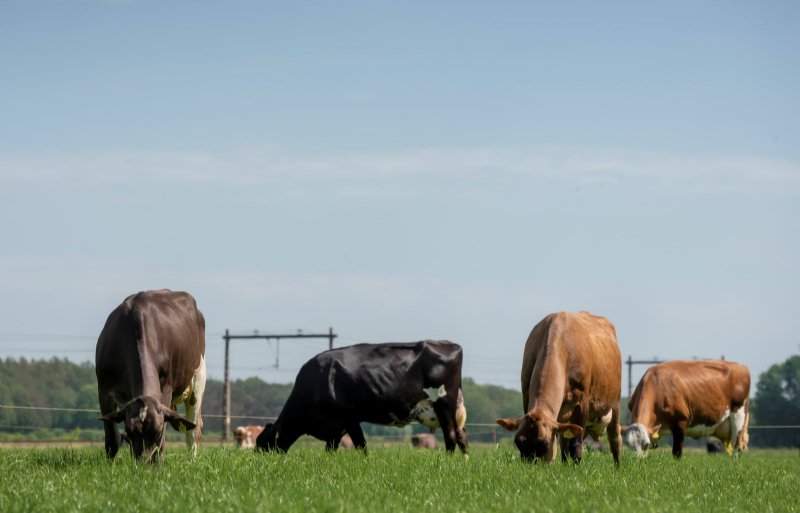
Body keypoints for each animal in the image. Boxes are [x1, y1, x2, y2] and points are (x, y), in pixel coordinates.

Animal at [96, 288, 206, 464]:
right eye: (130, 431)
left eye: (157, 433)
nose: (143, 463)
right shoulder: (104, 389)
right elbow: (112, 438)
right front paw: (110, 465)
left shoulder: (166, 387)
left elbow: (163, 441)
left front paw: (158, 464)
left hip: (198, 377)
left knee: (193, 429)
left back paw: (191, 461)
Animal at [256, 340, 468, 452]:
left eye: (264, 445)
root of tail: (452, 345)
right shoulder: (336, 428)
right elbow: (331, 449)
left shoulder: (349, 418)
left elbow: (361, 445)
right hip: (452, 409)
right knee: (461, 435)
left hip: (444, 404)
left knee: (450, 437)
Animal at [494, 312, 624, 464]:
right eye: (518, 442)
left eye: (544, 444)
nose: (529, 467)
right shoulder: (526, 397)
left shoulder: (582, 403)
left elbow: (576, 446)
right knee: (565, 444)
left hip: (614, 403)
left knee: (615, 439)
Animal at [624, 358, 752, 458]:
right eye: (628, 444)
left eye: (646, 444)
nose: (636, 461)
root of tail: (741, 366)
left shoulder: (680, 423)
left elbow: (677, 452)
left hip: (739, 416)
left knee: (737, 448)